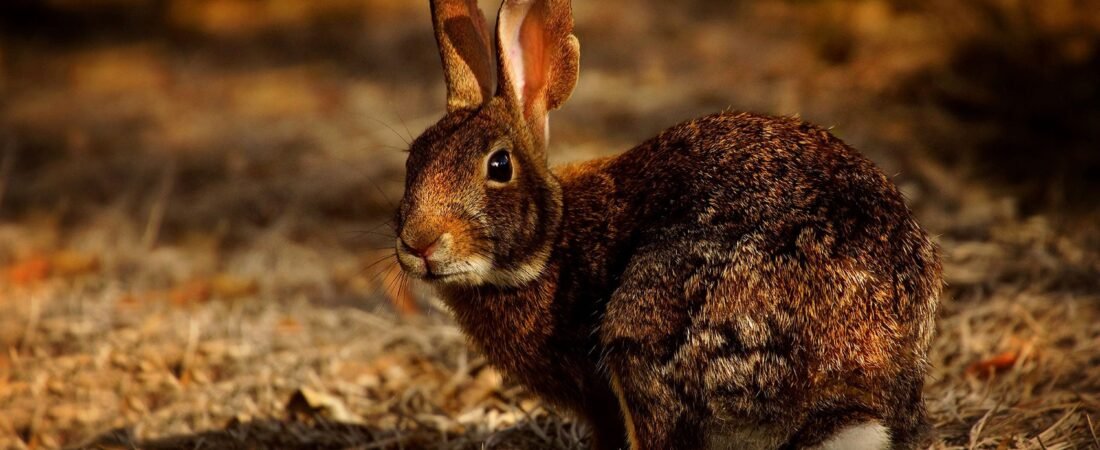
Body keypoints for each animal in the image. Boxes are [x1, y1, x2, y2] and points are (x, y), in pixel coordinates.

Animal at [394, 0, 942, 449]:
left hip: (645, 333)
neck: (551, 243)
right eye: (412, 159)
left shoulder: (603, 398)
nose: (418, 243)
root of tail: (847, 382)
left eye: (499, 166)